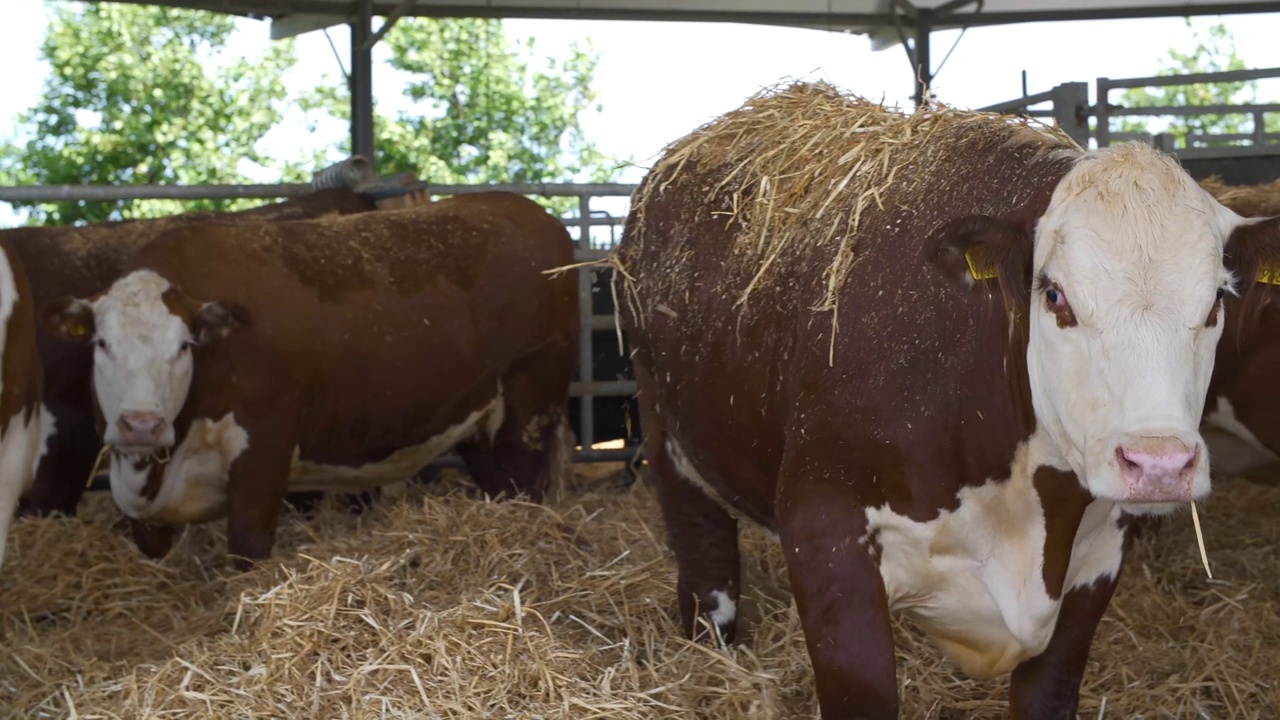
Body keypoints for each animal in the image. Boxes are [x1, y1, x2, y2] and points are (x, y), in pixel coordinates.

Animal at [611, 81, 1280, 712]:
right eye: (1055, 295)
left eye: (1217, 300)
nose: (1159, 464)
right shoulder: (825, 532)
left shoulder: (1095, 563)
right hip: (667, 431)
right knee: (704, 556)